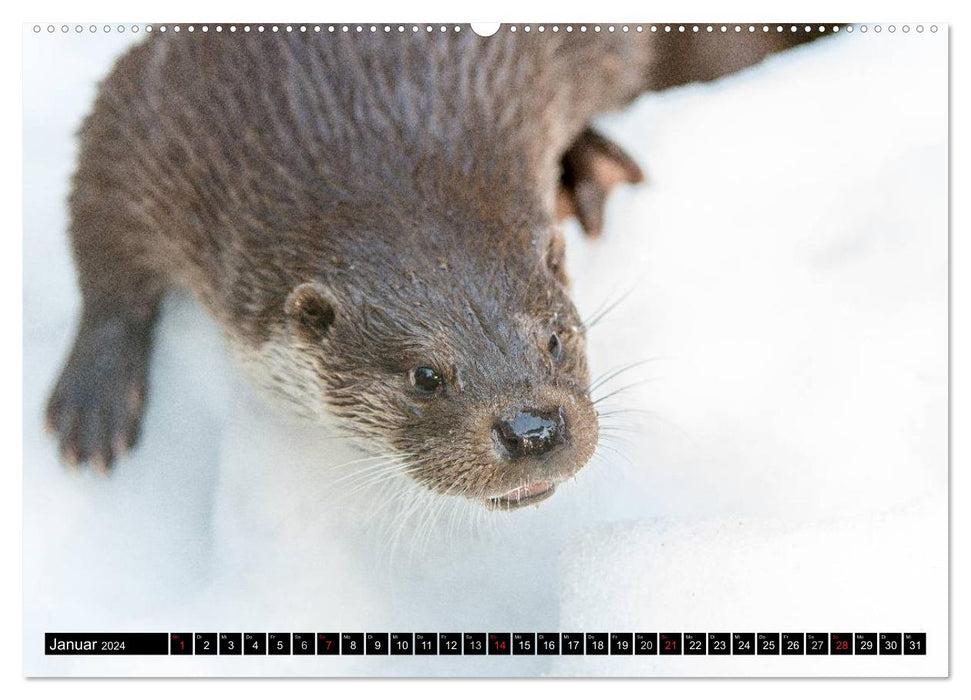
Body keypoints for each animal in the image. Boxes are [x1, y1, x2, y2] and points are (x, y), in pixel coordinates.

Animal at [45, 24, 832, 508]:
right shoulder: (164, 119)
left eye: (556, 339)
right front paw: (94, 394)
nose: (532, 429)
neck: (367, 147)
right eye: (424, 377)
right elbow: (102, 223)